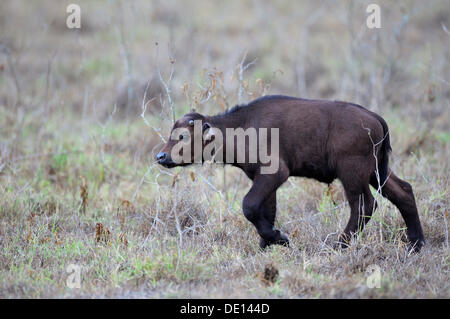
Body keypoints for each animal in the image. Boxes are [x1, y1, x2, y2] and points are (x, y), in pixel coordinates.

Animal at [157, 95, 426, 252]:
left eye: (183, 136)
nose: (161, 157)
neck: (239, 127)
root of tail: (374, 117)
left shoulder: (275, 174)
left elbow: (249, 206)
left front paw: (279, 238)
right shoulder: (263, 179)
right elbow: (267, 210)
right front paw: (268, 243)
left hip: (353, 175)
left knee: (364, 205)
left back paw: (338, 245)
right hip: (377, 172)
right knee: (404, 192)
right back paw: (416, 244)